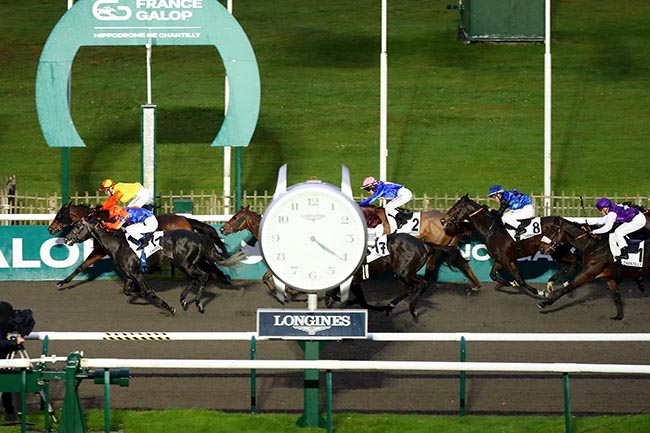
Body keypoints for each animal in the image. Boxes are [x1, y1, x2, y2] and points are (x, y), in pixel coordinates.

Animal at [46, 202, 228, 290]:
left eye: (60, 215)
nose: (50, 229)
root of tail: (185, 219)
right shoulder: (102, 250)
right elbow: (82, 266)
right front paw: (62, 282)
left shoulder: (101, 249)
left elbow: (83, 265)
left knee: (207, 262)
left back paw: (222, 277)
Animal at [64, 216, 242, 314]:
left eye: (78, 226)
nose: (66, 239)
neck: (117, 245)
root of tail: (199, 237)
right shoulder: (130, 275)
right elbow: (128, 291)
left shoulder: (136, 274)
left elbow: (148, 291)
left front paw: (169, 308)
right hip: (187, 264)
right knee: (200, 277)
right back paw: (185, 299)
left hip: (186, 264)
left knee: (203, 276)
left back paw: (197, 303)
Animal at [442, 193, 580, 296]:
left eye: (456, 207)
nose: (443, 220)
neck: (491, 229)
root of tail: (565, 222)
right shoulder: (501, 259)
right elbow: (492, 275)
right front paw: (510, 283)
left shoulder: (506, 260)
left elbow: (520, 279)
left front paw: (539, 292)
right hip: (555, 250)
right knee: (570, 262)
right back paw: (556, 281)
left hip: (556, 249)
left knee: (574, 261)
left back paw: (563, 281)